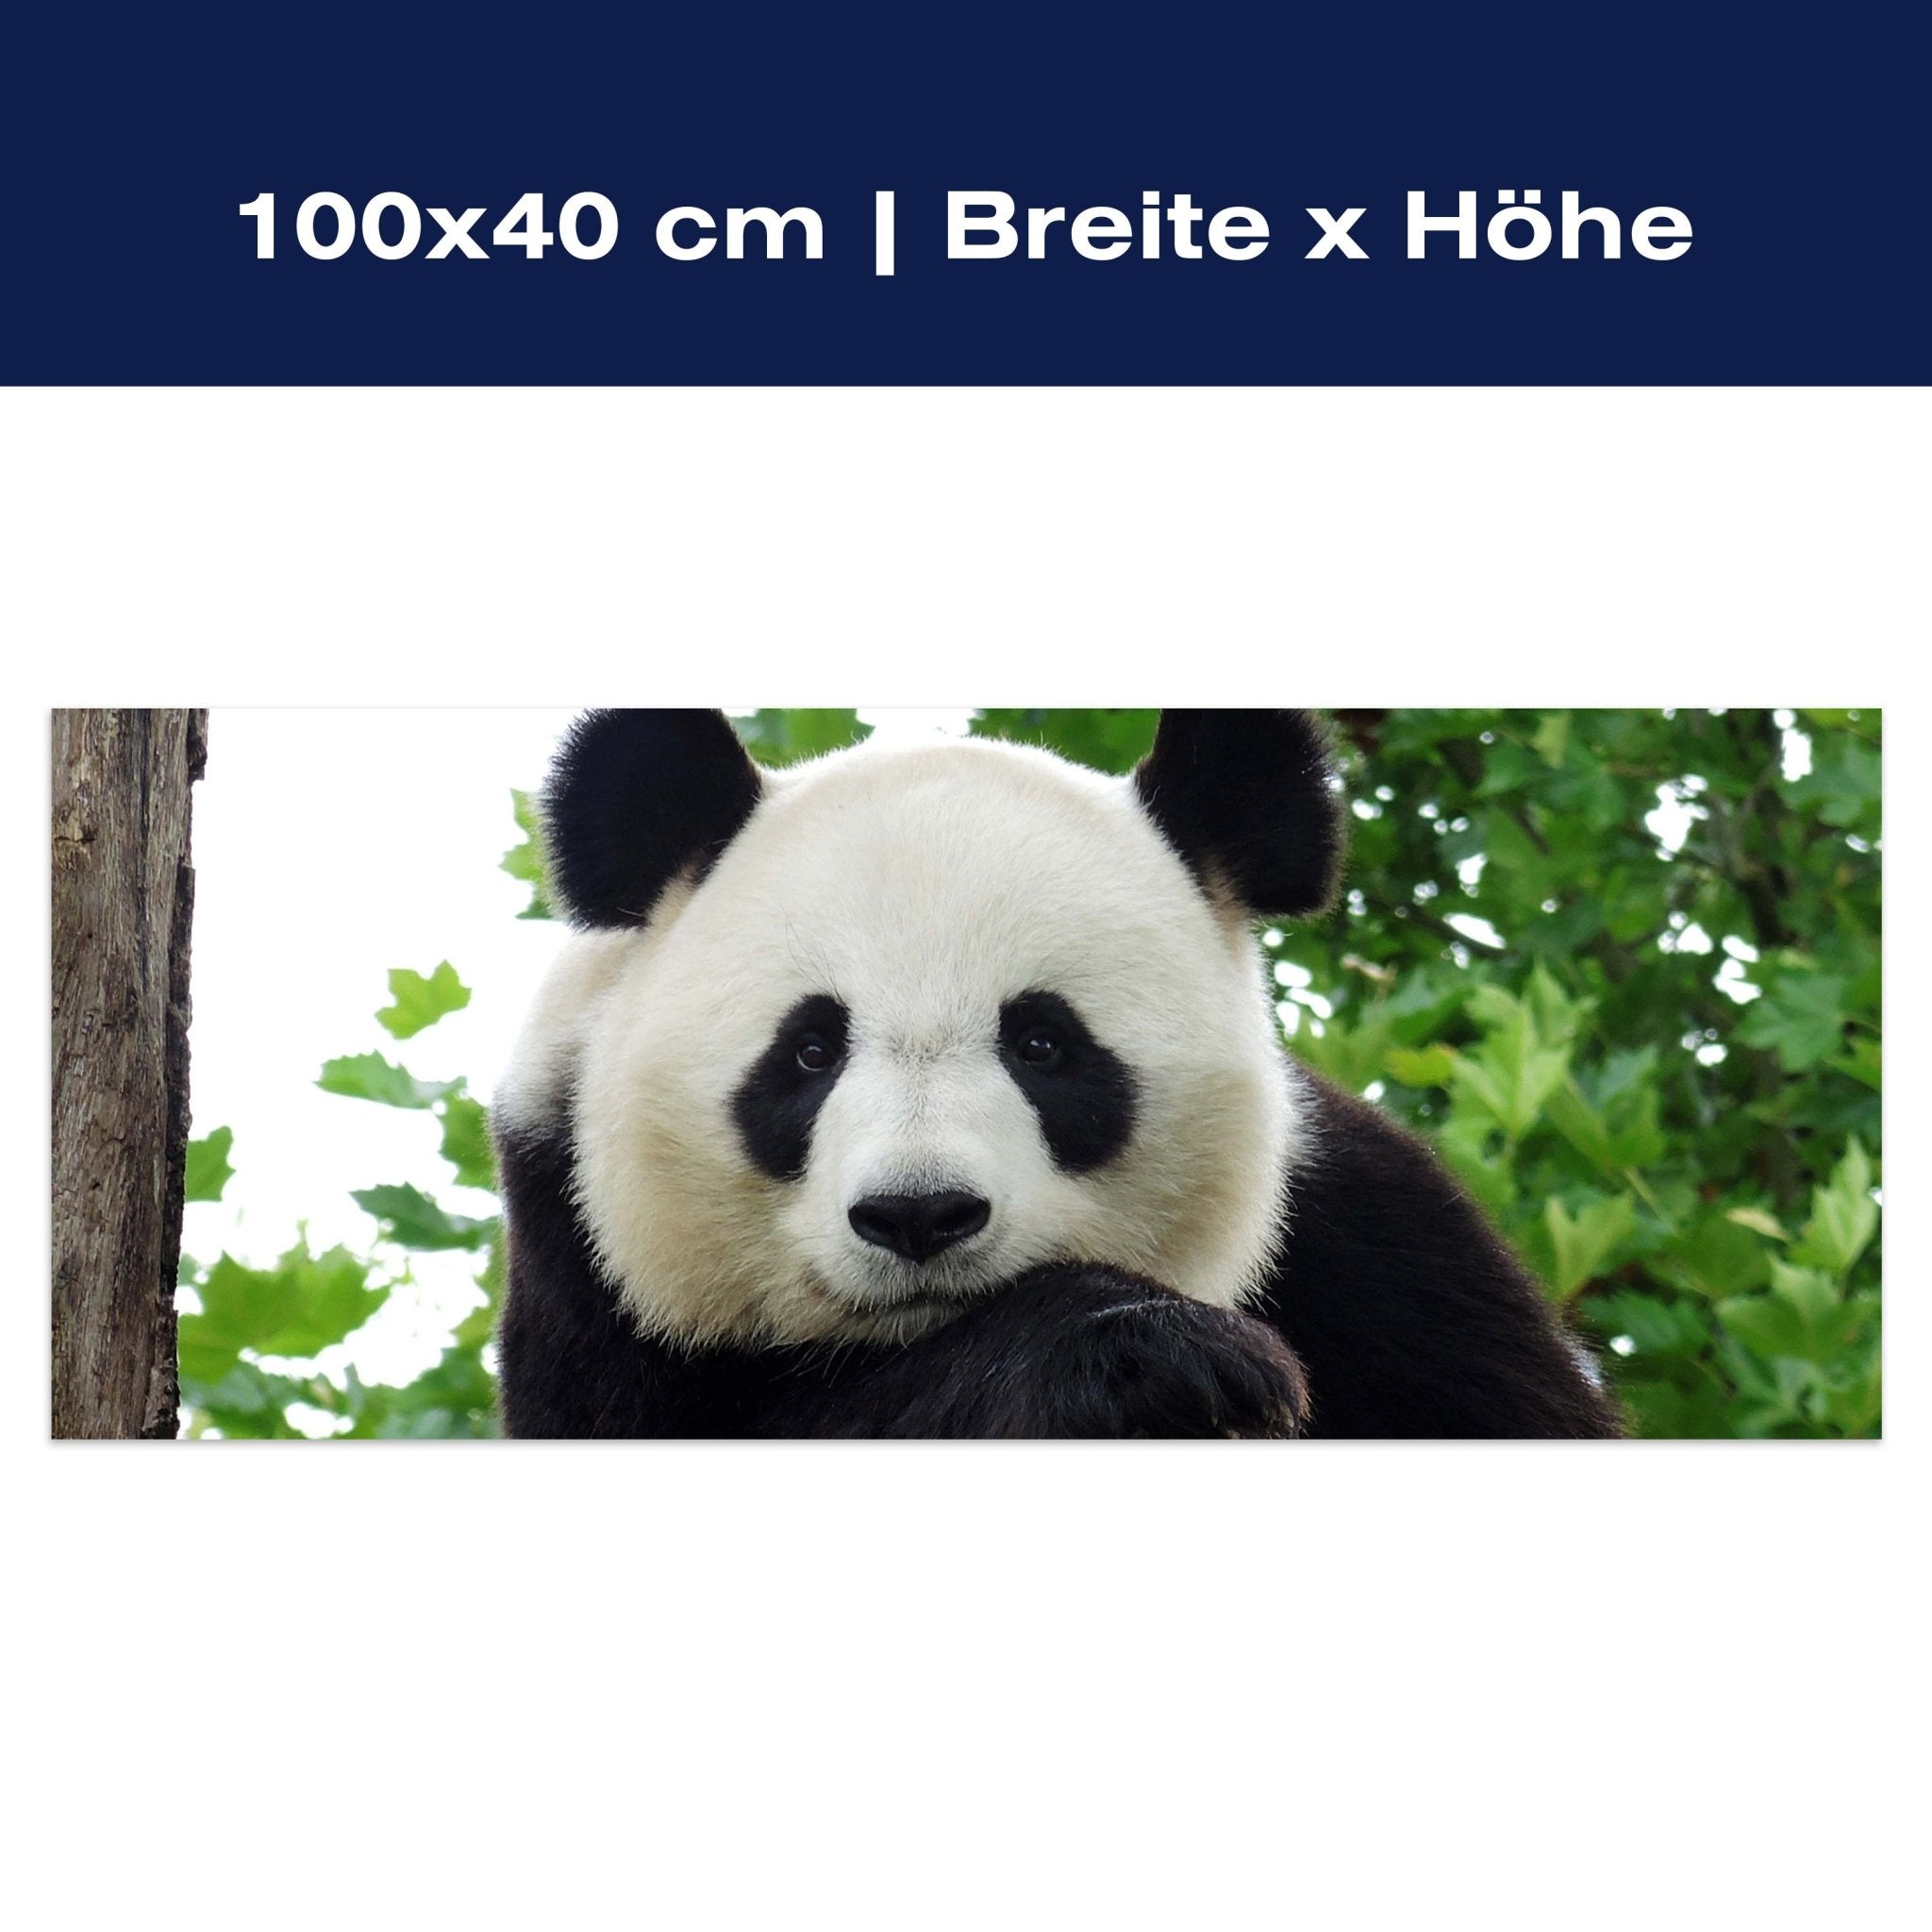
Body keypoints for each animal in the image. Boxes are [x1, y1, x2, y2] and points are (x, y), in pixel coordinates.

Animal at [493, 708, 1623, 1439]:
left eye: (1042, 1043)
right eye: (809, 1051)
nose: (919, 1215)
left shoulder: (1385, 1260)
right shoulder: (583, 1264)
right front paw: (1146, 1357)